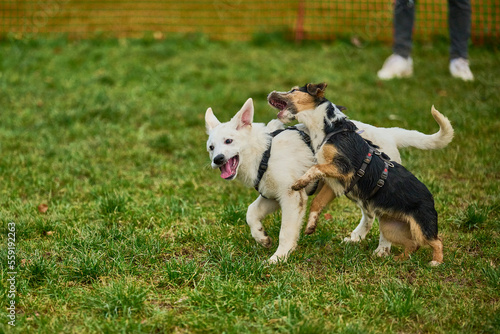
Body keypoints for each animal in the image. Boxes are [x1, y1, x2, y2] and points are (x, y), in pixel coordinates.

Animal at [205, 98, 456, 262]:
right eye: (211, 147)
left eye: (229, 141)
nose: (217, 160)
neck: (265, 150)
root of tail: (388, 132)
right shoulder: (271, 197)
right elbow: (250, 213)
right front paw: (261, 238)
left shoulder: (292, 197)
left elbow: (286, 232)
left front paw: (279, 257)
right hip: (356, 190)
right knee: (369, 216)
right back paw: (357, 237)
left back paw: (383, 249)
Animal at [268, 83, 444, 266]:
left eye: (294, 90)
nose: (271, 93)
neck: (331, 130)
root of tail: (431, 199)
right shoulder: (333, 182)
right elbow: (317, 202)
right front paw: (310, 225)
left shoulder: (343, 167)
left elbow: (315, 168)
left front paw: (299, 183)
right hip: (391, 226)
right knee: (413, 244)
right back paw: (399, 258)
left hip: (421, 226)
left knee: (436, 241)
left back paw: (436, 262)